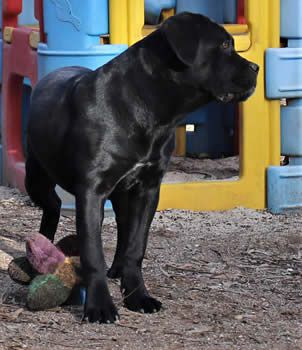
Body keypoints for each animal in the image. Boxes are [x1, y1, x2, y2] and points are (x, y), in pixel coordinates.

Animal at [24, 12, 258, 324]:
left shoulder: (147, 189)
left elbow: (136, 246)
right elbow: (92, 251)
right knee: (52, 206)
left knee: (123, 230)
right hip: (36, 178)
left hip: (122, 194)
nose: (256, 68)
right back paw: (41, 249)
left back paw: (116, 269)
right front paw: (100, 306)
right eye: (223, 45)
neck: (146, 106)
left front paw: (137, 296)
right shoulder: (91, 191)